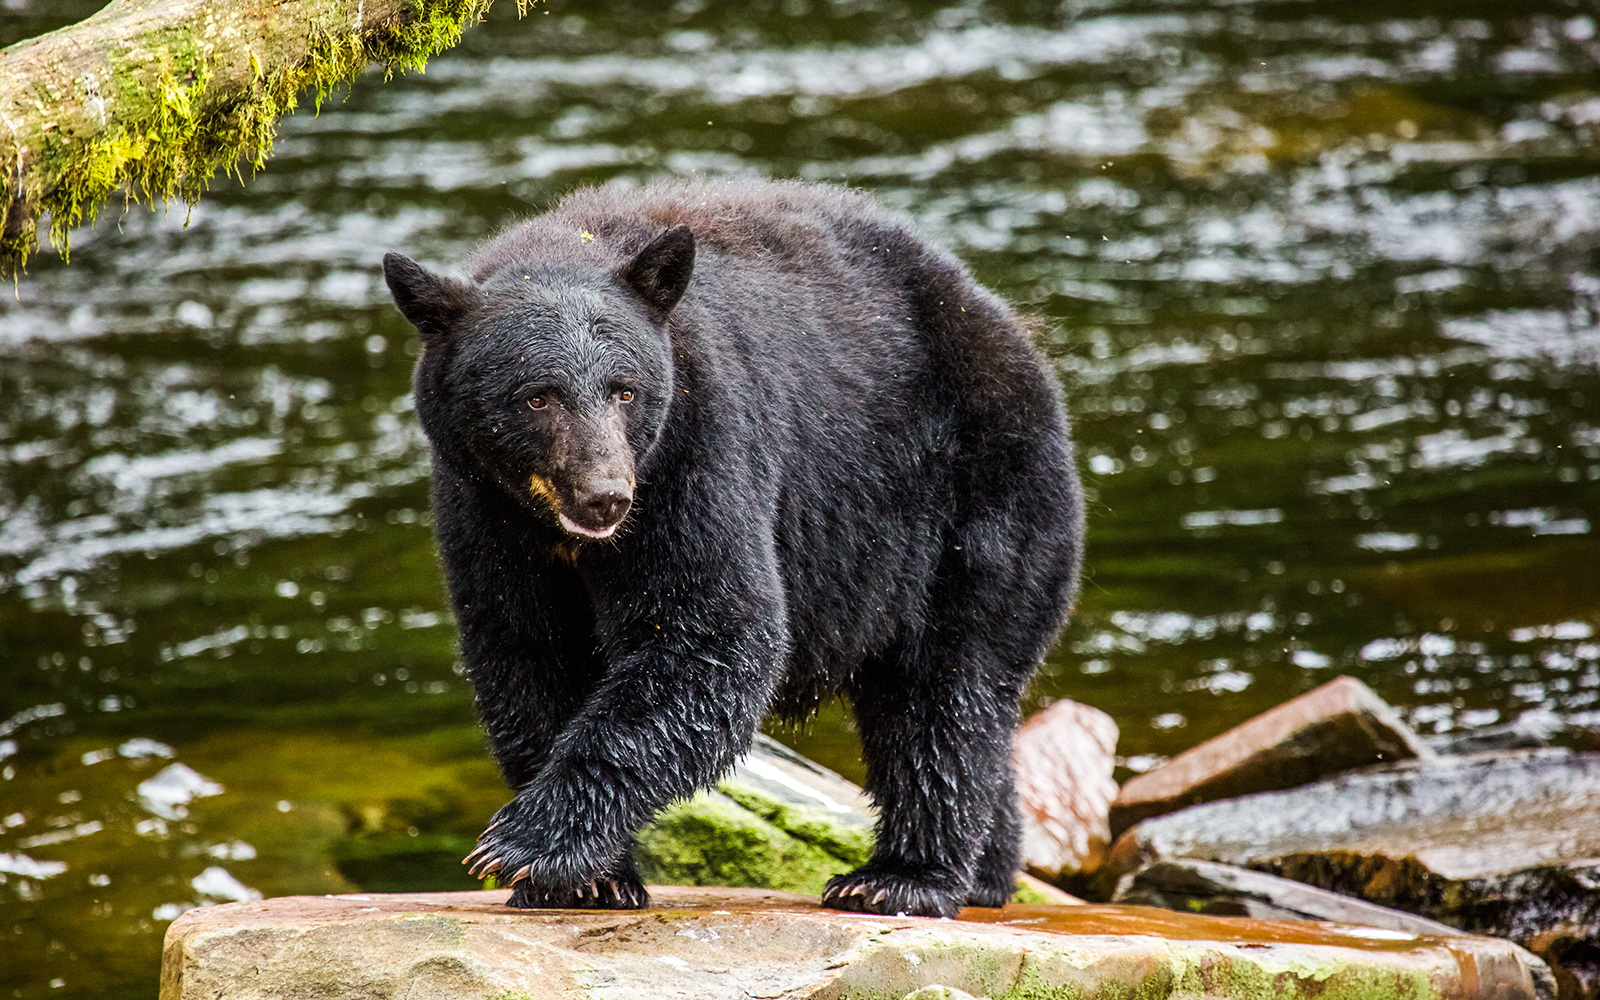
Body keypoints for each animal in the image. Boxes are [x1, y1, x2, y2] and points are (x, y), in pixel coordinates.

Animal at [381, 177, 1083, 918]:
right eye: (537, 396)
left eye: (625, 390)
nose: (606, 496)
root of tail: (1011, 328)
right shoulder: (482, 509)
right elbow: (525, 651)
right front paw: (591, 878)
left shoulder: (698, 447)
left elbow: (712, 629)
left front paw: (528, 843)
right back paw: (989, 872)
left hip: (976, 500)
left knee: (945, 690)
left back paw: (902, 876)